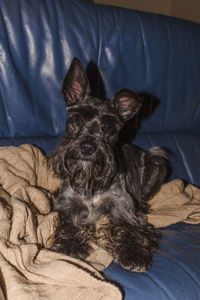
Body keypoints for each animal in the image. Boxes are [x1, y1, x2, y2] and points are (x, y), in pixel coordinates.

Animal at [48, 56, 169, 272]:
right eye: (77, 118)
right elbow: (69, 224)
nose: (87, 147)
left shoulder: (122, 209)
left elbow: (128, 229)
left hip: (157, 158)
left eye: (108, 125)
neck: (90, 183)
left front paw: (133, 254)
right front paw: (70, 244)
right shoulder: (65, 205)